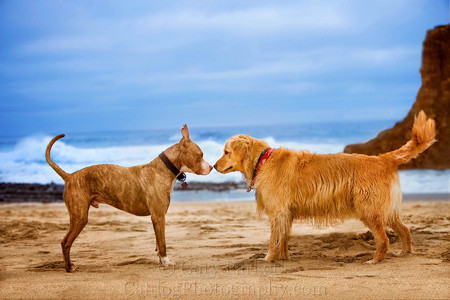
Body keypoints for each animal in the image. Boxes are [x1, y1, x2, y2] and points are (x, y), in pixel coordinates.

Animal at [46, 124, 212, 272]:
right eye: (201, 154)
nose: (211, 167)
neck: (162, 169)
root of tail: (70, 176)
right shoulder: (158, 217)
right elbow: (163, 243)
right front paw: (165, 262)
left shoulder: (157, 218)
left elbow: (158, 243)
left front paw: (161, 260)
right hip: (79, 217)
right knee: (65, 242)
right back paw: (69, 267)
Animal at [215, 110, 436, 262]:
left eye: (226, 152)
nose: (214, 166)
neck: (263, 160)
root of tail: (382, 158)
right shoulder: (286, 213)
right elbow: (284, 238)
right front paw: (284, 258)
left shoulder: (278, 212)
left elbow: (273, 240)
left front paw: (268, 259)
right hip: (386, 210)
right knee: (405, 229)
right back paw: (405, 252)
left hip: (368, 209)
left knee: (384, 239)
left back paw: (375, 260)